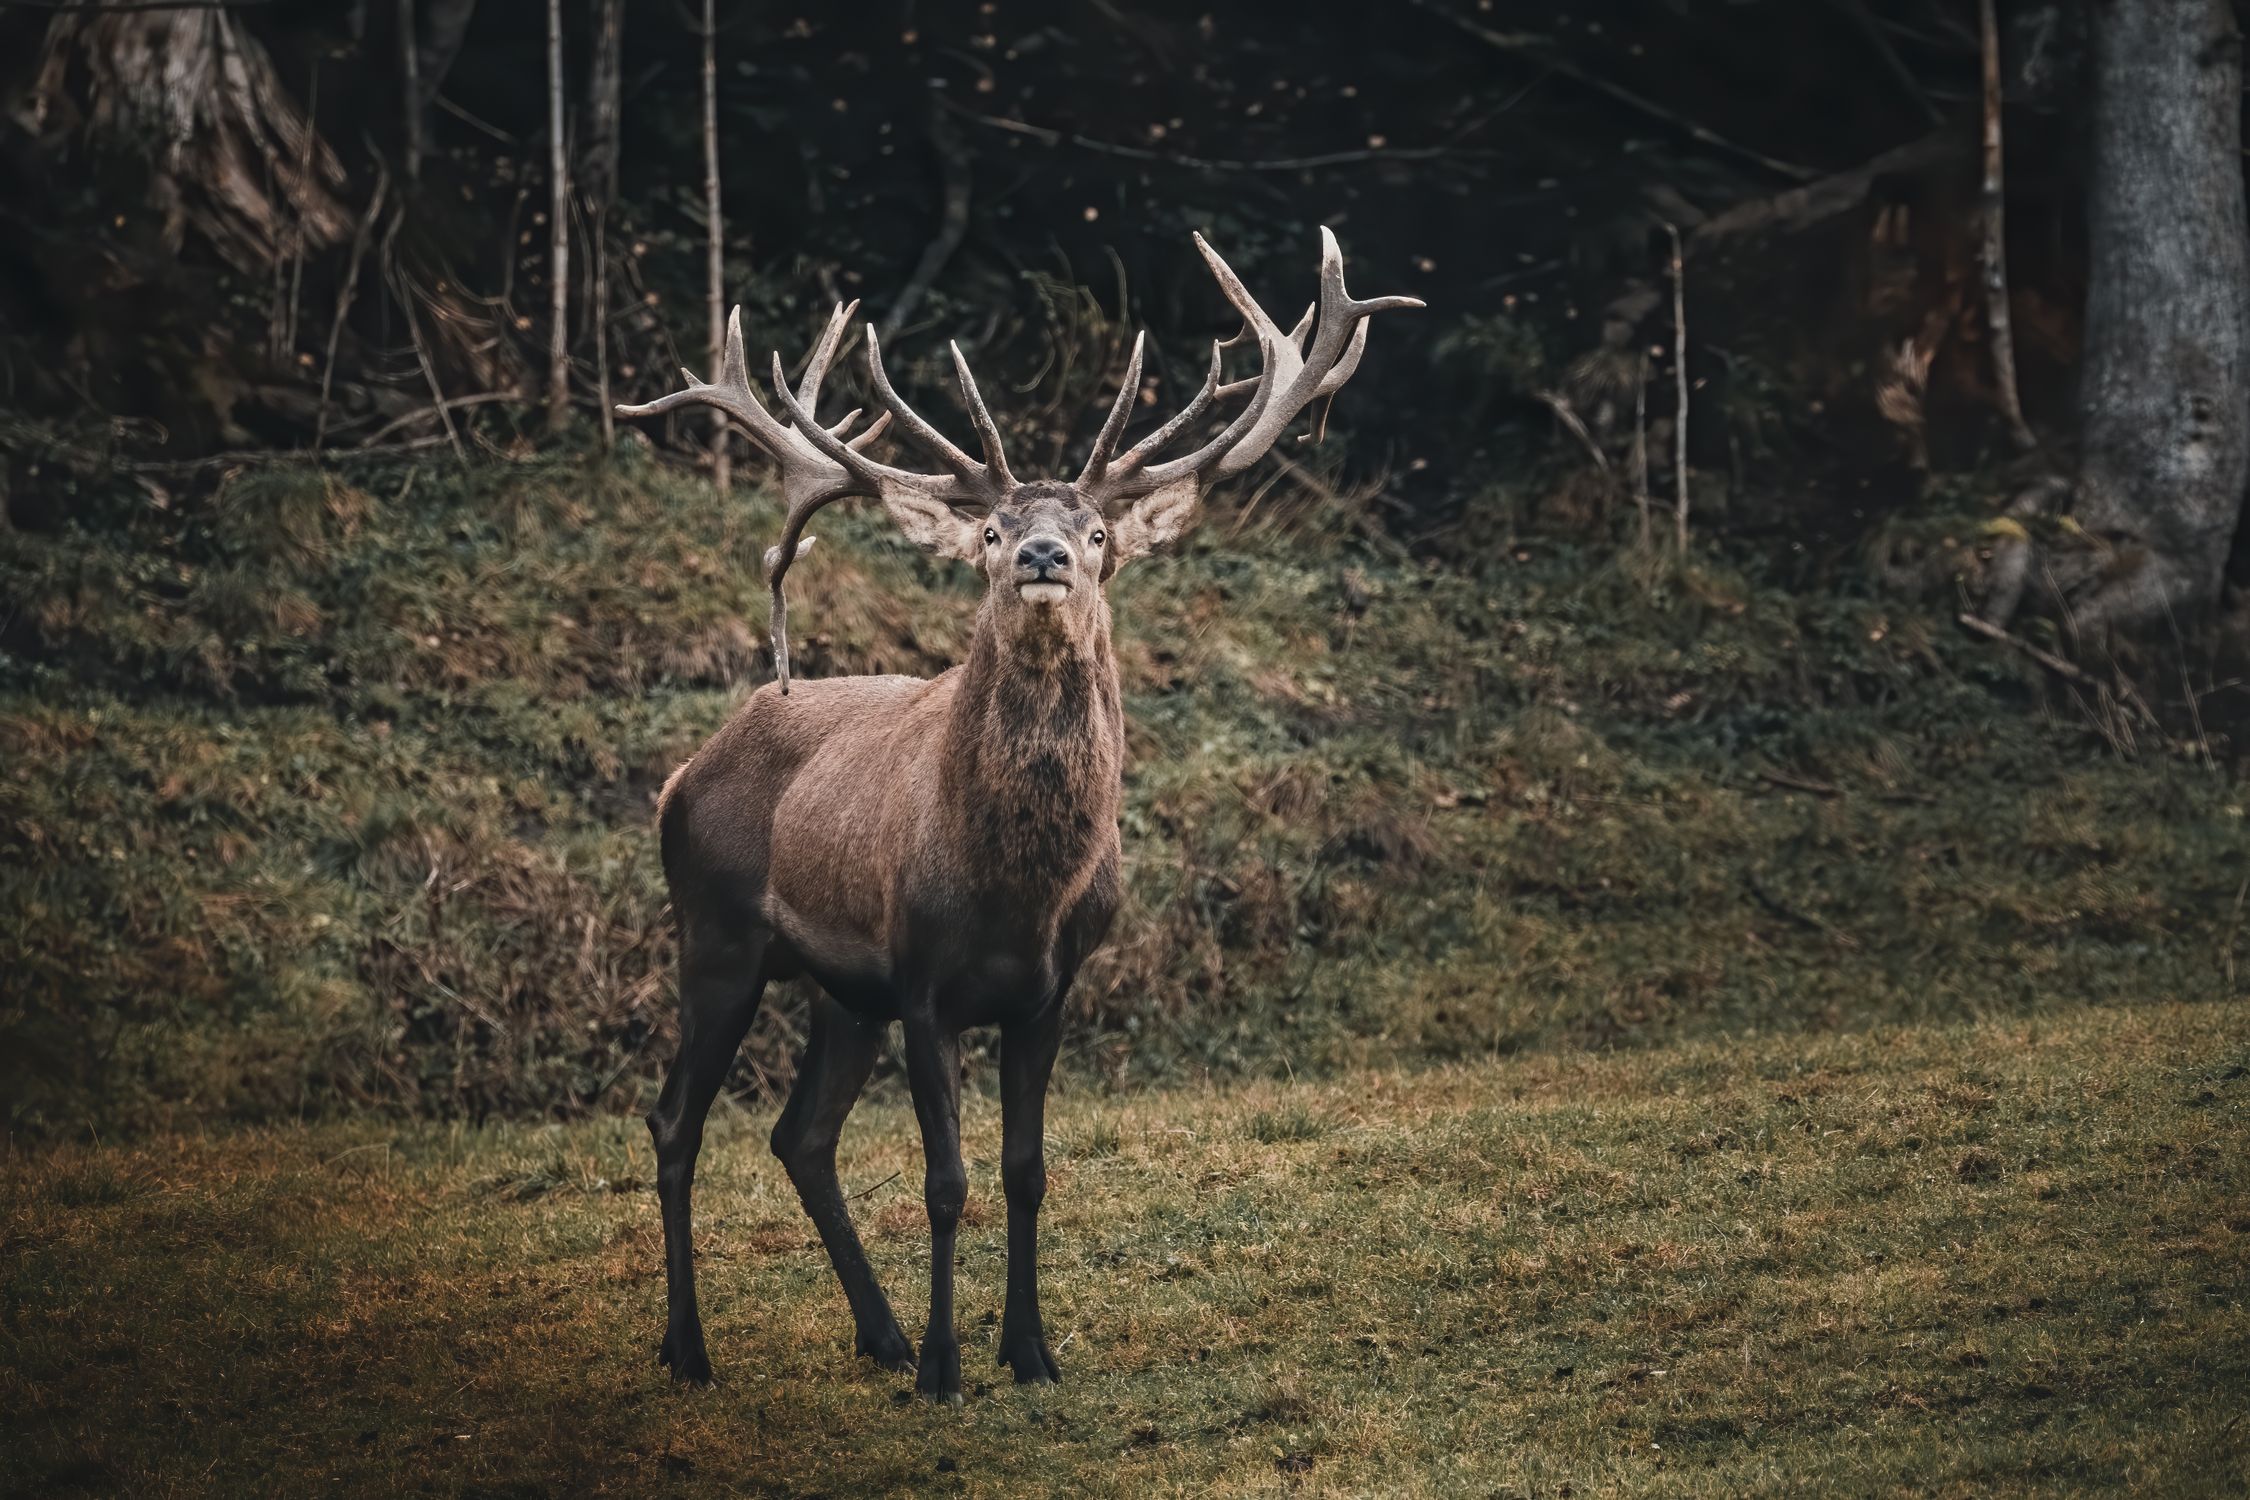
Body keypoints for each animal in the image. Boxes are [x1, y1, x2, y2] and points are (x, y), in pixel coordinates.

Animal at [616, 228, 1420, 1400]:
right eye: (993, 529)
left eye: (1097, 531)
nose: (1044, 555)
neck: (1017, 893)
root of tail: (683, 773)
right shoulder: (922, 982)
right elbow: (947, 1180)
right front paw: (949, 1367)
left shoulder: (1050, 989)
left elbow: (1027, 1169)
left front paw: (1029, 1351)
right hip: (716, 934)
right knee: (676, 1119)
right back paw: (691, 1349)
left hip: (839, 989)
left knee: (799, 1137)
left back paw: (879, 1334)